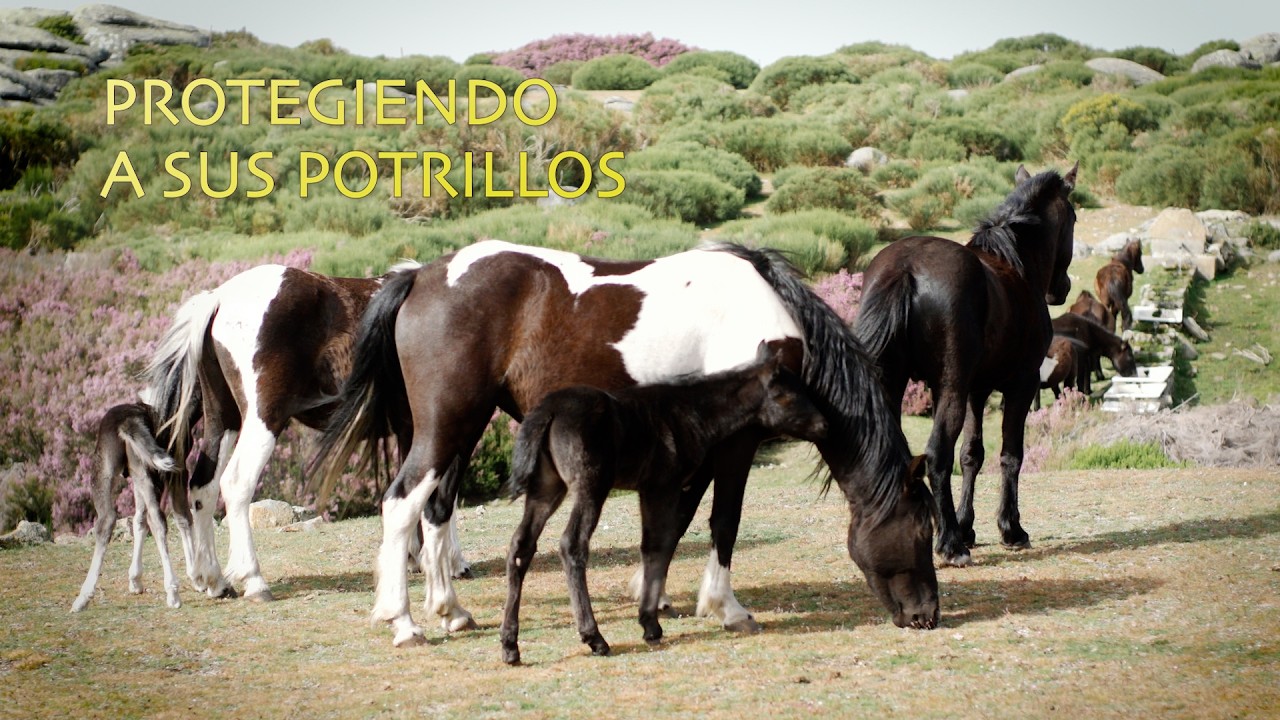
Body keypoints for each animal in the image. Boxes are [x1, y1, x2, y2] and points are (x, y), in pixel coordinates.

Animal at [71, 402, 188, 612]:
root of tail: (129, 420)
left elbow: (139, 519)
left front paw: (135, 580)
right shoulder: (138, 475)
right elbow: (140, 519)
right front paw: (136, 581)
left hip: (104, 468)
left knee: (107, 519)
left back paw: (82, 598)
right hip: (146, 470)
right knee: (157, 519)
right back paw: (173, 593)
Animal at [145, 261, 460, 602]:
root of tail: (219, 297)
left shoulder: (411, 431)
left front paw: (416, 557)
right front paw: (452, 562)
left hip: (222, 421)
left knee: (204, 486)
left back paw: (215, 580)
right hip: (264, 422)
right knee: (236, 483)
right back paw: (255, 581)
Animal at [499, 345, 829, 664]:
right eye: (789, 395)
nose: (823, 425)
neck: (691, 413)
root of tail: (548, 411)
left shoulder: (650, 489)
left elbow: (652, 545)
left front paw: (650, 616)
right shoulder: (664, 485)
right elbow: (660, 544)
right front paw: (650, 624)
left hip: (546, 487)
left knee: (521, 545)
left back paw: (510, 645)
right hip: (590, 485)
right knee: (572, 544)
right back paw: (595, 638)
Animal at [855, 164, 1077, 566]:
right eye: (1073, 217)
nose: (1062, 288)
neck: (1015, 268)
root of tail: (905, 269)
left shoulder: (979, 389)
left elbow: (972, 455)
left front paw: (966, 525)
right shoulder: (1020, 386)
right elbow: (1010, 454)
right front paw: (1010, 529)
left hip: (893, 384)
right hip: (950, 390)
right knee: (936, 456)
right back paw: (950, 545)